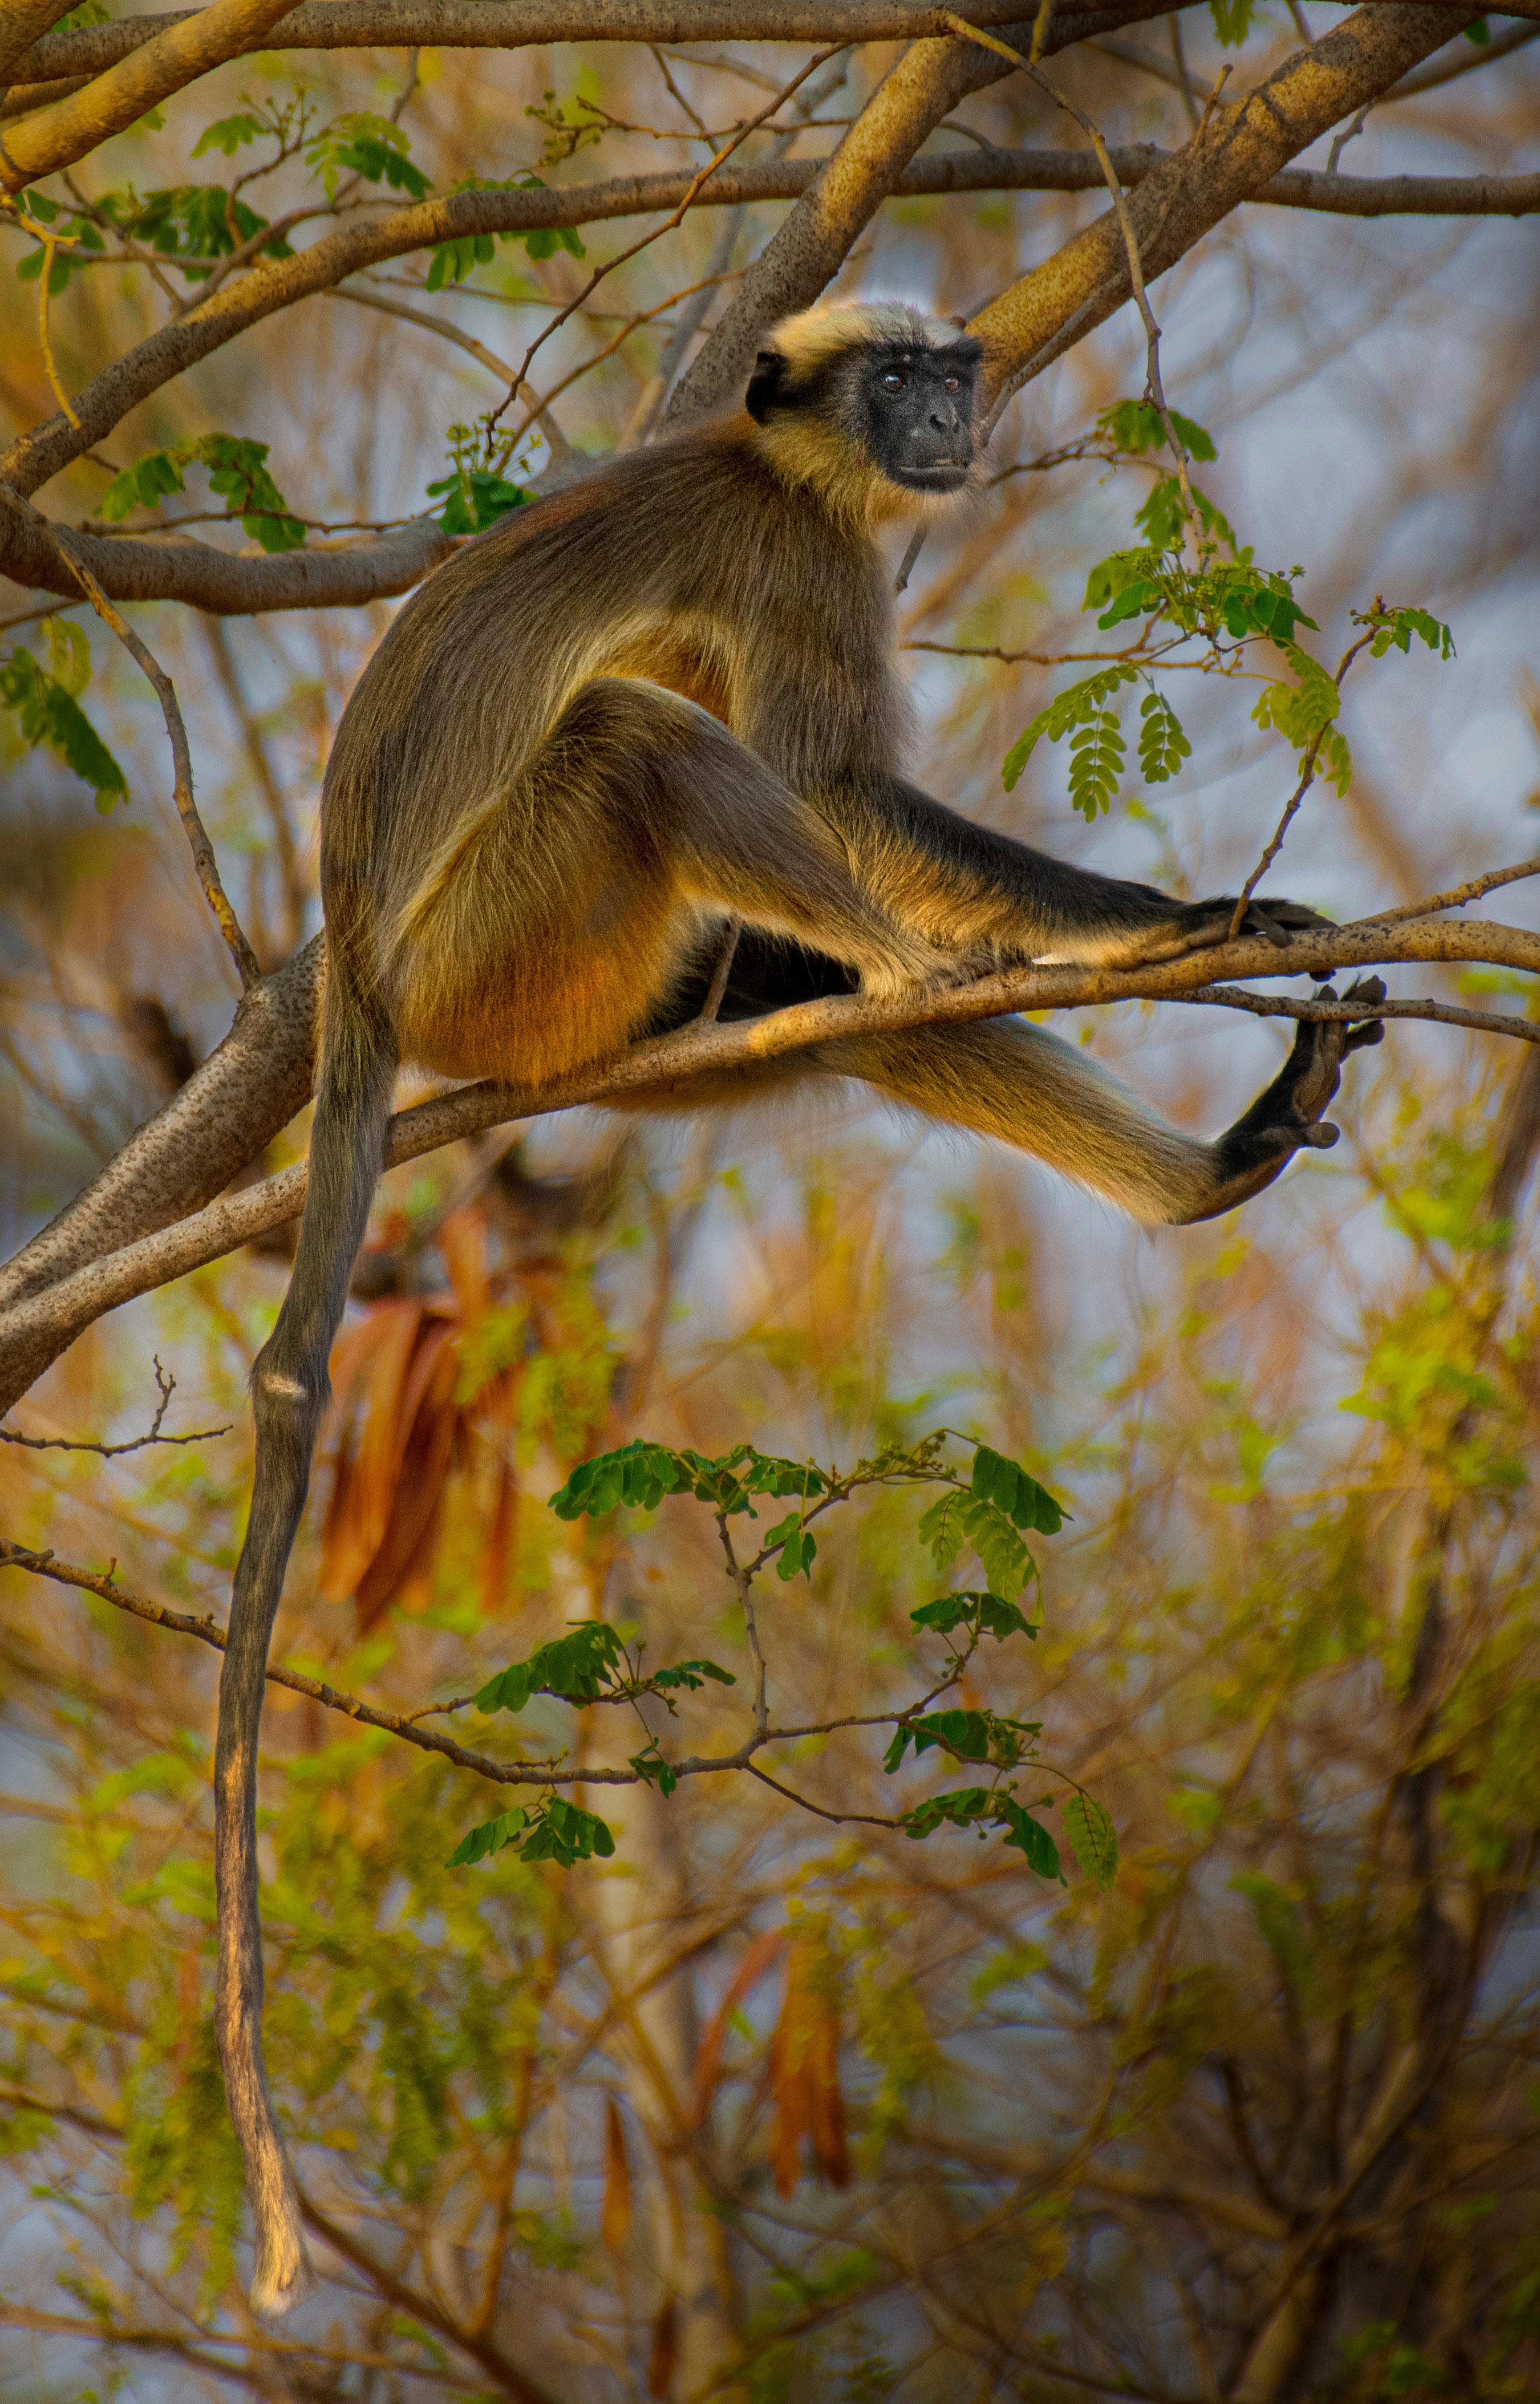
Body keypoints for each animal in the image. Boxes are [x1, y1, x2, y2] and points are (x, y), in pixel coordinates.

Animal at [210, 300, 1374, 2308]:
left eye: (950, 373)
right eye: (893, 377)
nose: (946, 416)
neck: (775, 463)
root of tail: (362, 974)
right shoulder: (808, 559)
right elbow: (828, 786)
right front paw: (1166, 924)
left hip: (598, 997)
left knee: (804, 984)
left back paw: (1193, 1155)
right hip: (509, 940)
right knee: (642, 737)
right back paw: (927, 964)